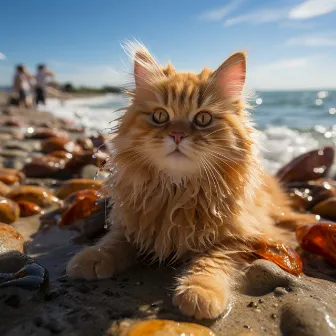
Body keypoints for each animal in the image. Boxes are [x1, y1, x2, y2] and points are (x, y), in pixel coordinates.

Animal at [67, 42, 316, 320]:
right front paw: (91, 257)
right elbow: (112, 242)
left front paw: (200, 291)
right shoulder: (132, 222)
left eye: (203, 119)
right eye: (160, 116)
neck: (177, 191)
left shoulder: (237, 236)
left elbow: (210, 262)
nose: (177, 135)